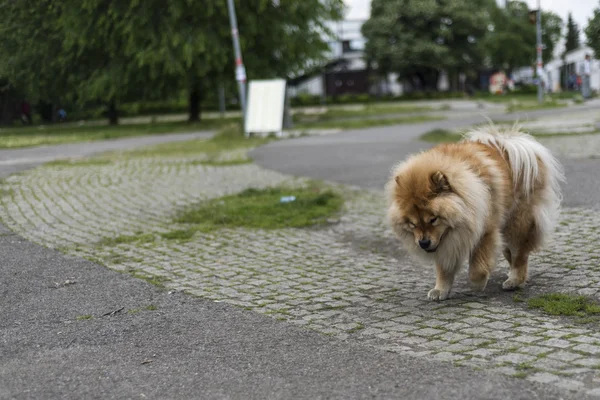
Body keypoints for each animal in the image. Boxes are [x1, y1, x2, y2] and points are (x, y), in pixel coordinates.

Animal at [386, 126, 564, 300]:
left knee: (520, 255)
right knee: (511, 254)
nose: (423, 243)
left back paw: (514, 280)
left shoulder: (484, 231)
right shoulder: (446, 243)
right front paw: (440, 290)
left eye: (433, 219)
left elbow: (477, 265)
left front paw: (478, 283)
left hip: (518, 224)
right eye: (412, 224)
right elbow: (444, 269)